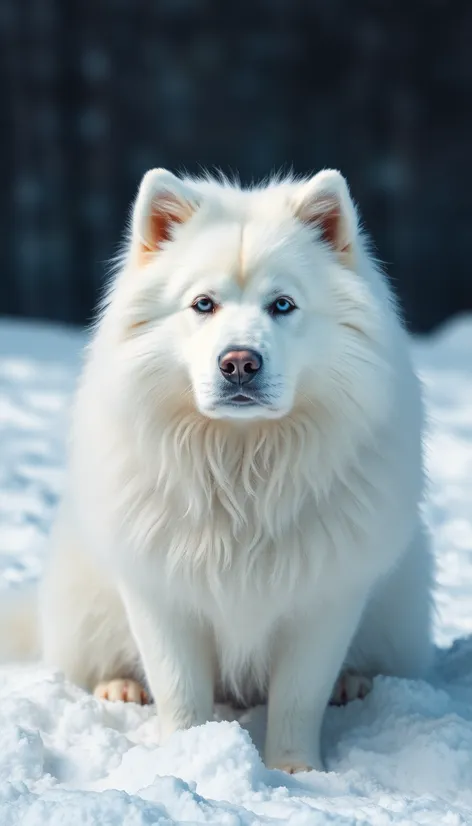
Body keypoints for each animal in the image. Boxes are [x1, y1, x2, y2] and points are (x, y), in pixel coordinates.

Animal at [1, 167, 434, 772]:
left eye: (282, 305)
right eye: (203, 304)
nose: (239, 362)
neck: (241, 462)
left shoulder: (324, 597)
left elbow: (299, 698)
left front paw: (296, 770)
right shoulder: (163, 594)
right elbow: (180, 692)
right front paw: (187, 755)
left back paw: (354, 683)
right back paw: (121, 687)